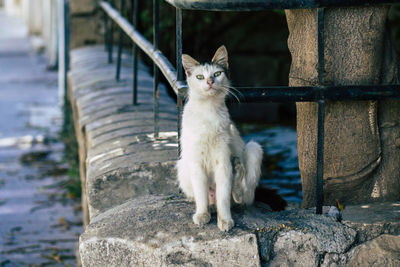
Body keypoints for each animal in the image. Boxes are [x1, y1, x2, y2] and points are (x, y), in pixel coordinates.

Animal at [177, 46, 264, 232]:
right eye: (200, 77)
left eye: (217, 74)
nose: (210, 81)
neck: (208, 110)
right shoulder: (196, 162)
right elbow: (201, 194)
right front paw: (202, 215)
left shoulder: (222, 161)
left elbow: (223, 198)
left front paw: (225, 221)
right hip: (182, 163)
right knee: (205, 197)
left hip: (253, 149)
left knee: (240, 196)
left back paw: (238, 172)